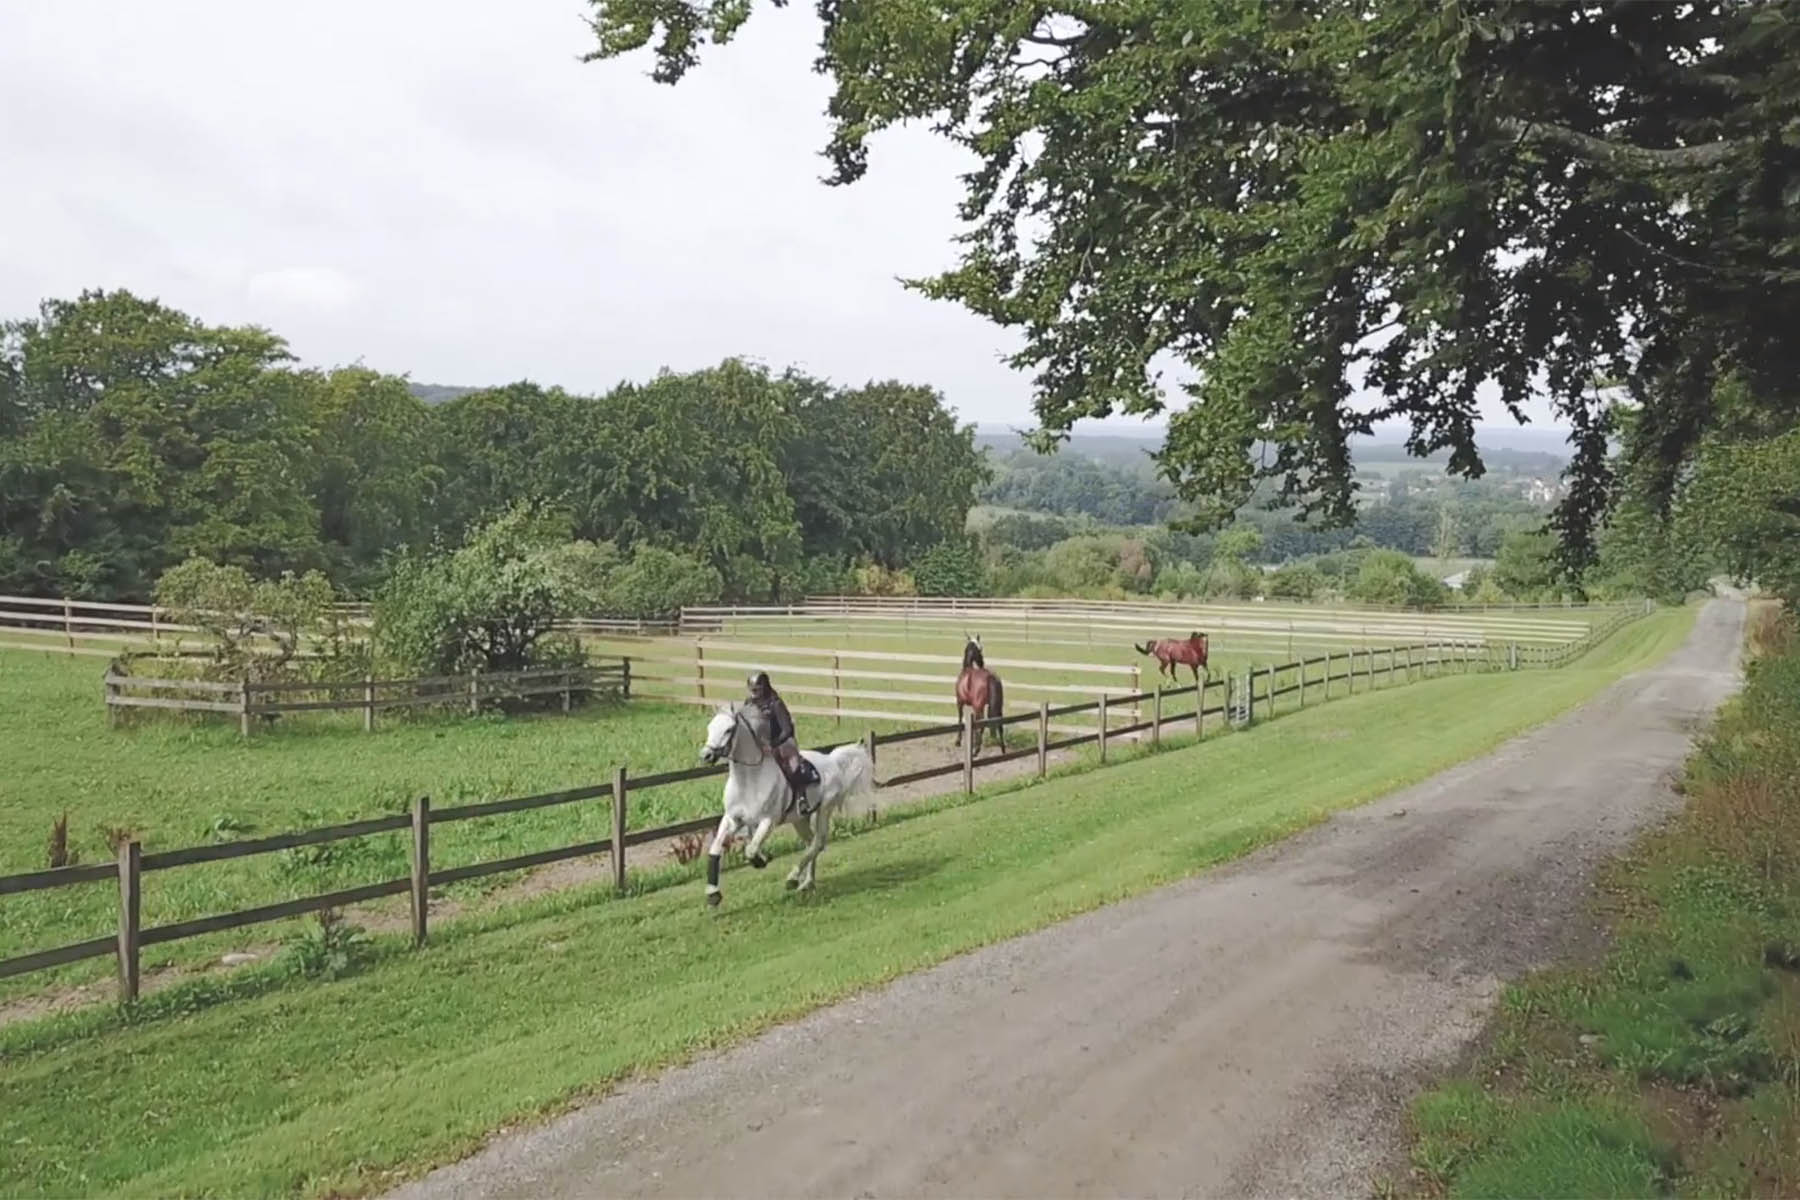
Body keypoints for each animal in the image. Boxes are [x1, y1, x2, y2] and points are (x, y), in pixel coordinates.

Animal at [697, 701, 874, 908]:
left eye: (728, 729)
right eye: (710, 727)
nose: (706, 755)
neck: (749, 781)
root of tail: (832, 761)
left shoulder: (768, 821)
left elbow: (751, 849)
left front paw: (761, 859)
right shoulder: (732, 819)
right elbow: (715, 850)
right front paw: (713, 894)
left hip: (824, 810)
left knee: (818, 843)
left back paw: (793, 878)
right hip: (799, 820)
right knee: (810, 843)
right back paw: (807, 883)